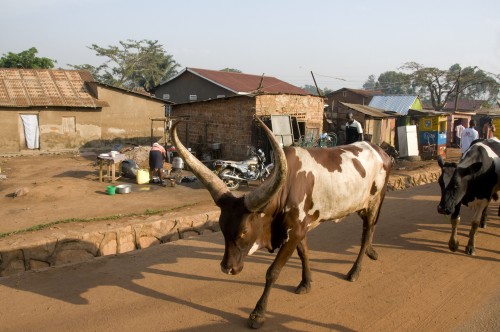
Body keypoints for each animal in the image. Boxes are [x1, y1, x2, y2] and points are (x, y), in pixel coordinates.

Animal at [174, 117, 392, 330]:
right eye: (222, 228)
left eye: (243, 231)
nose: (227, 268)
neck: (287, 187)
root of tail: (381, 151)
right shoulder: (299, 229)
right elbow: (305, 254)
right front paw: (306, 283)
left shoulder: (294, 232)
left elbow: (273, 272)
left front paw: (258, 313)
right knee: (368, 231)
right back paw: (371, 252)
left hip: (374, 202)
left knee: (367, 231)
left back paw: (355, 270)